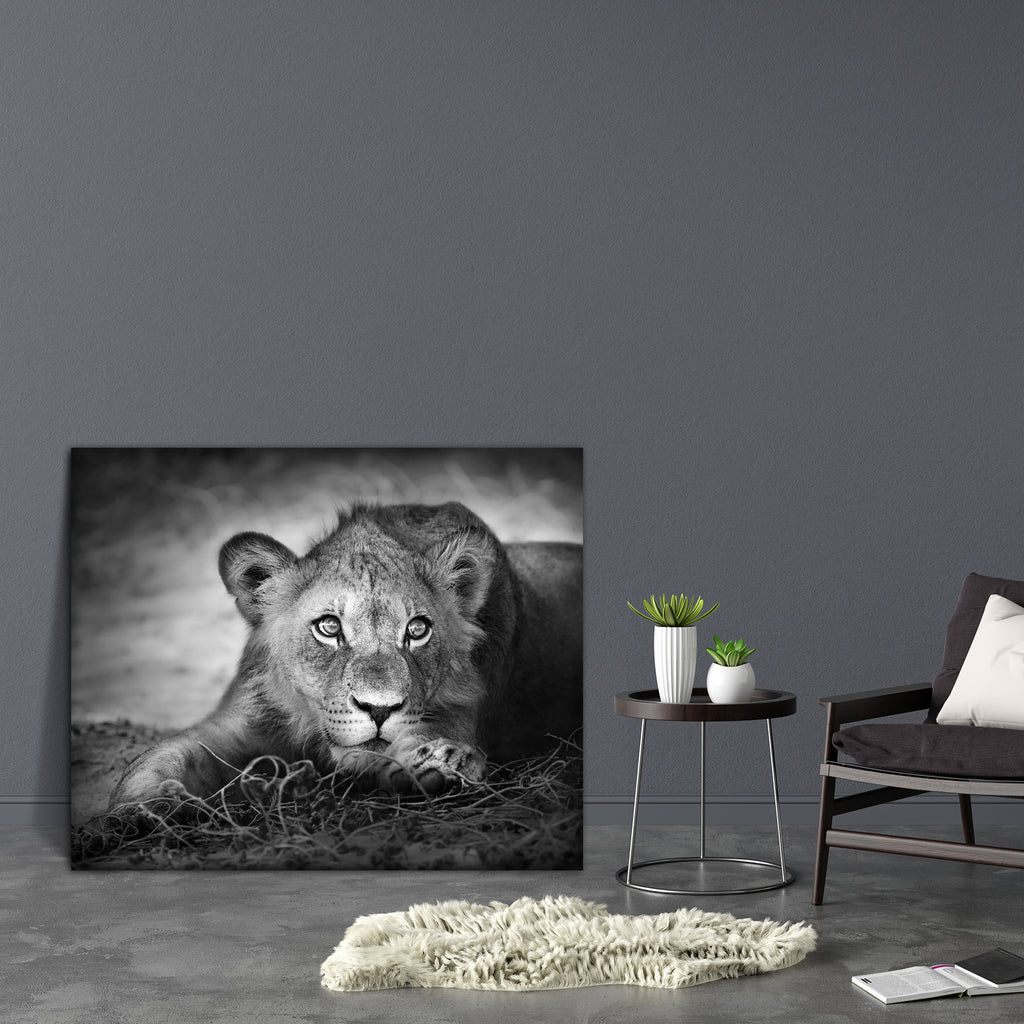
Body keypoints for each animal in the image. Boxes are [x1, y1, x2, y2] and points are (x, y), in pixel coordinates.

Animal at [110, 501, 582, 806]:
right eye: (329, 627)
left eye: (417, 630)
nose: (379, 709)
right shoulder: (238, 722)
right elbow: (161, 757)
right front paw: (144, 806)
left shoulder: (459, 712)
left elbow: (421, 740)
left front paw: (441, 764)